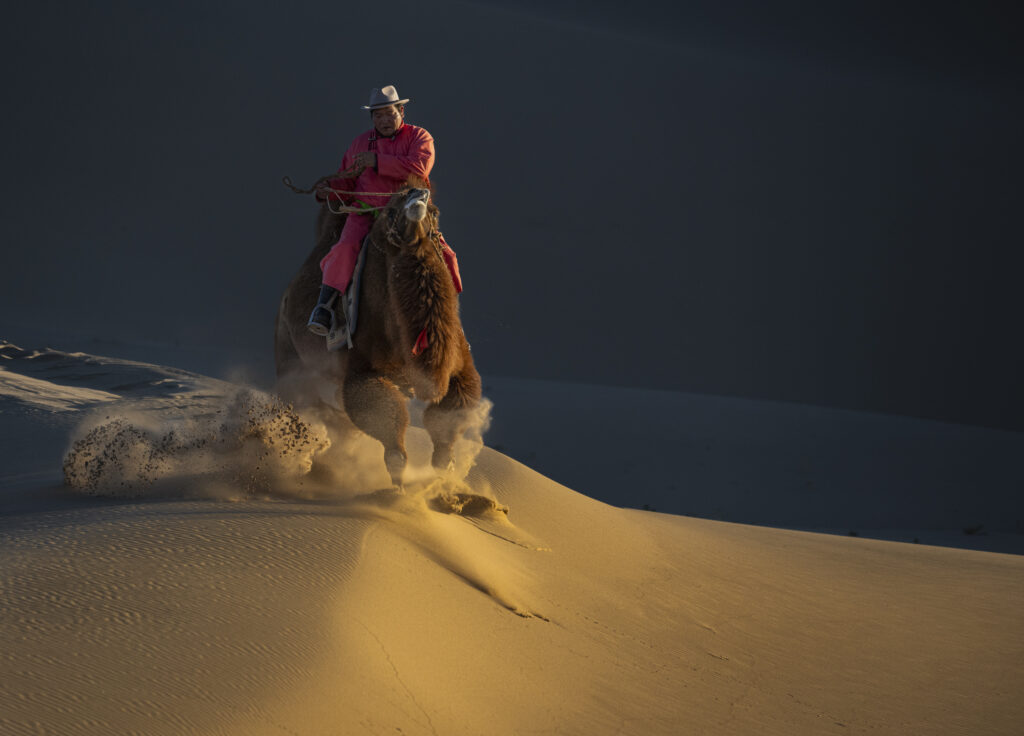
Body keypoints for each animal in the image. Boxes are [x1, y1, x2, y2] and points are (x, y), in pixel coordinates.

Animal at [274, 187, 482, 487]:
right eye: (391, 211)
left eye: (435, 212)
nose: (418, 195)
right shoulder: (362, 368)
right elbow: (386, 425)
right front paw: (399, 488)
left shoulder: (460, 367)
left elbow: (450, 414)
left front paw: (445, 476)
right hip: (289, 354)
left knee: (339, 421)